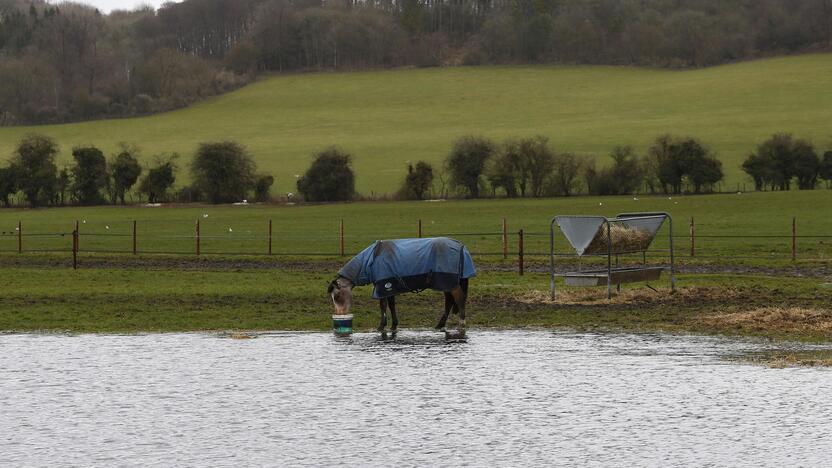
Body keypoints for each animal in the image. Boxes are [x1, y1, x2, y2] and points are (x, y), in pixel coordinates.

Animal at [328, 238, 478, 332]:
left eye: (337, 296)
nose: (339, 314)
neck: (371, 260)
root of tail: (460, 246)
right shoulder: (389, 286)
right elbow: (391, 305)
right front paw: (393, 326)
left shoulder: (383, 287)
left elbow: (383, 306)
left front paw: (381, 326)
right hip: (447, 283)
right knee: (449, 302)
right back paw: (440, 325)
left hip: (449, 282)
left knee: (459, 299)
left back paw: (461, 324)